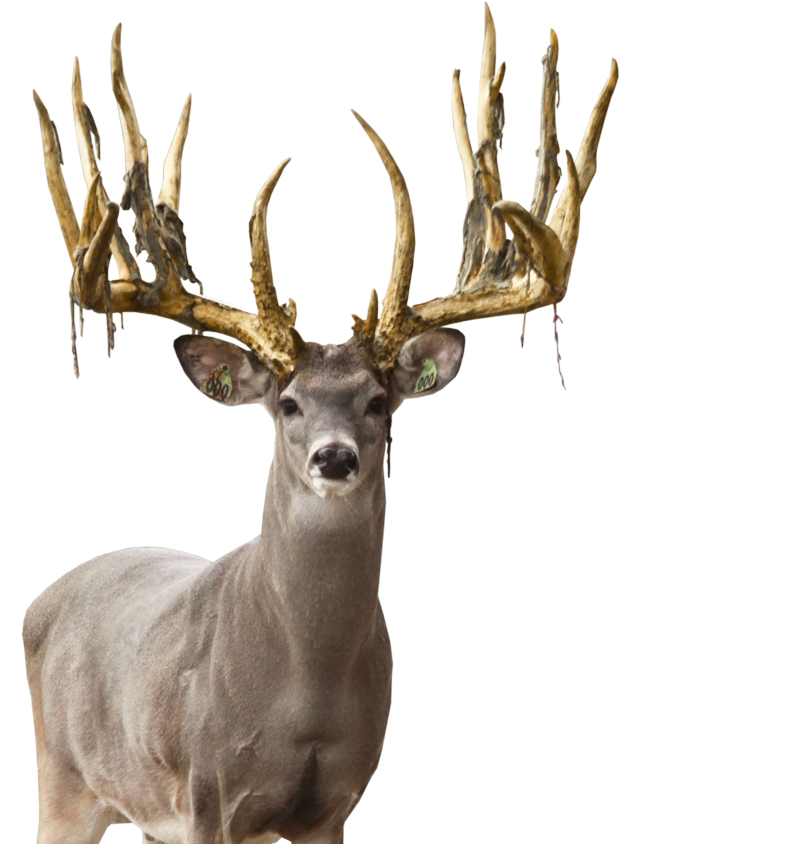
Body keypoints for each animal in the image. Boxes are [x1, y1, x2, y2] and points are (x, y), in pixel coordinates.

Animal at [24, 8, 617, 844]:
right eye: (288, 403)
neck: (302, 691)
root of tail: (44, 601)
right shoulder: (204, 791)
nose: (334, 459)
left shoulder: (336, 796)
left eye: (378, 401)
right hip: (67, 775)